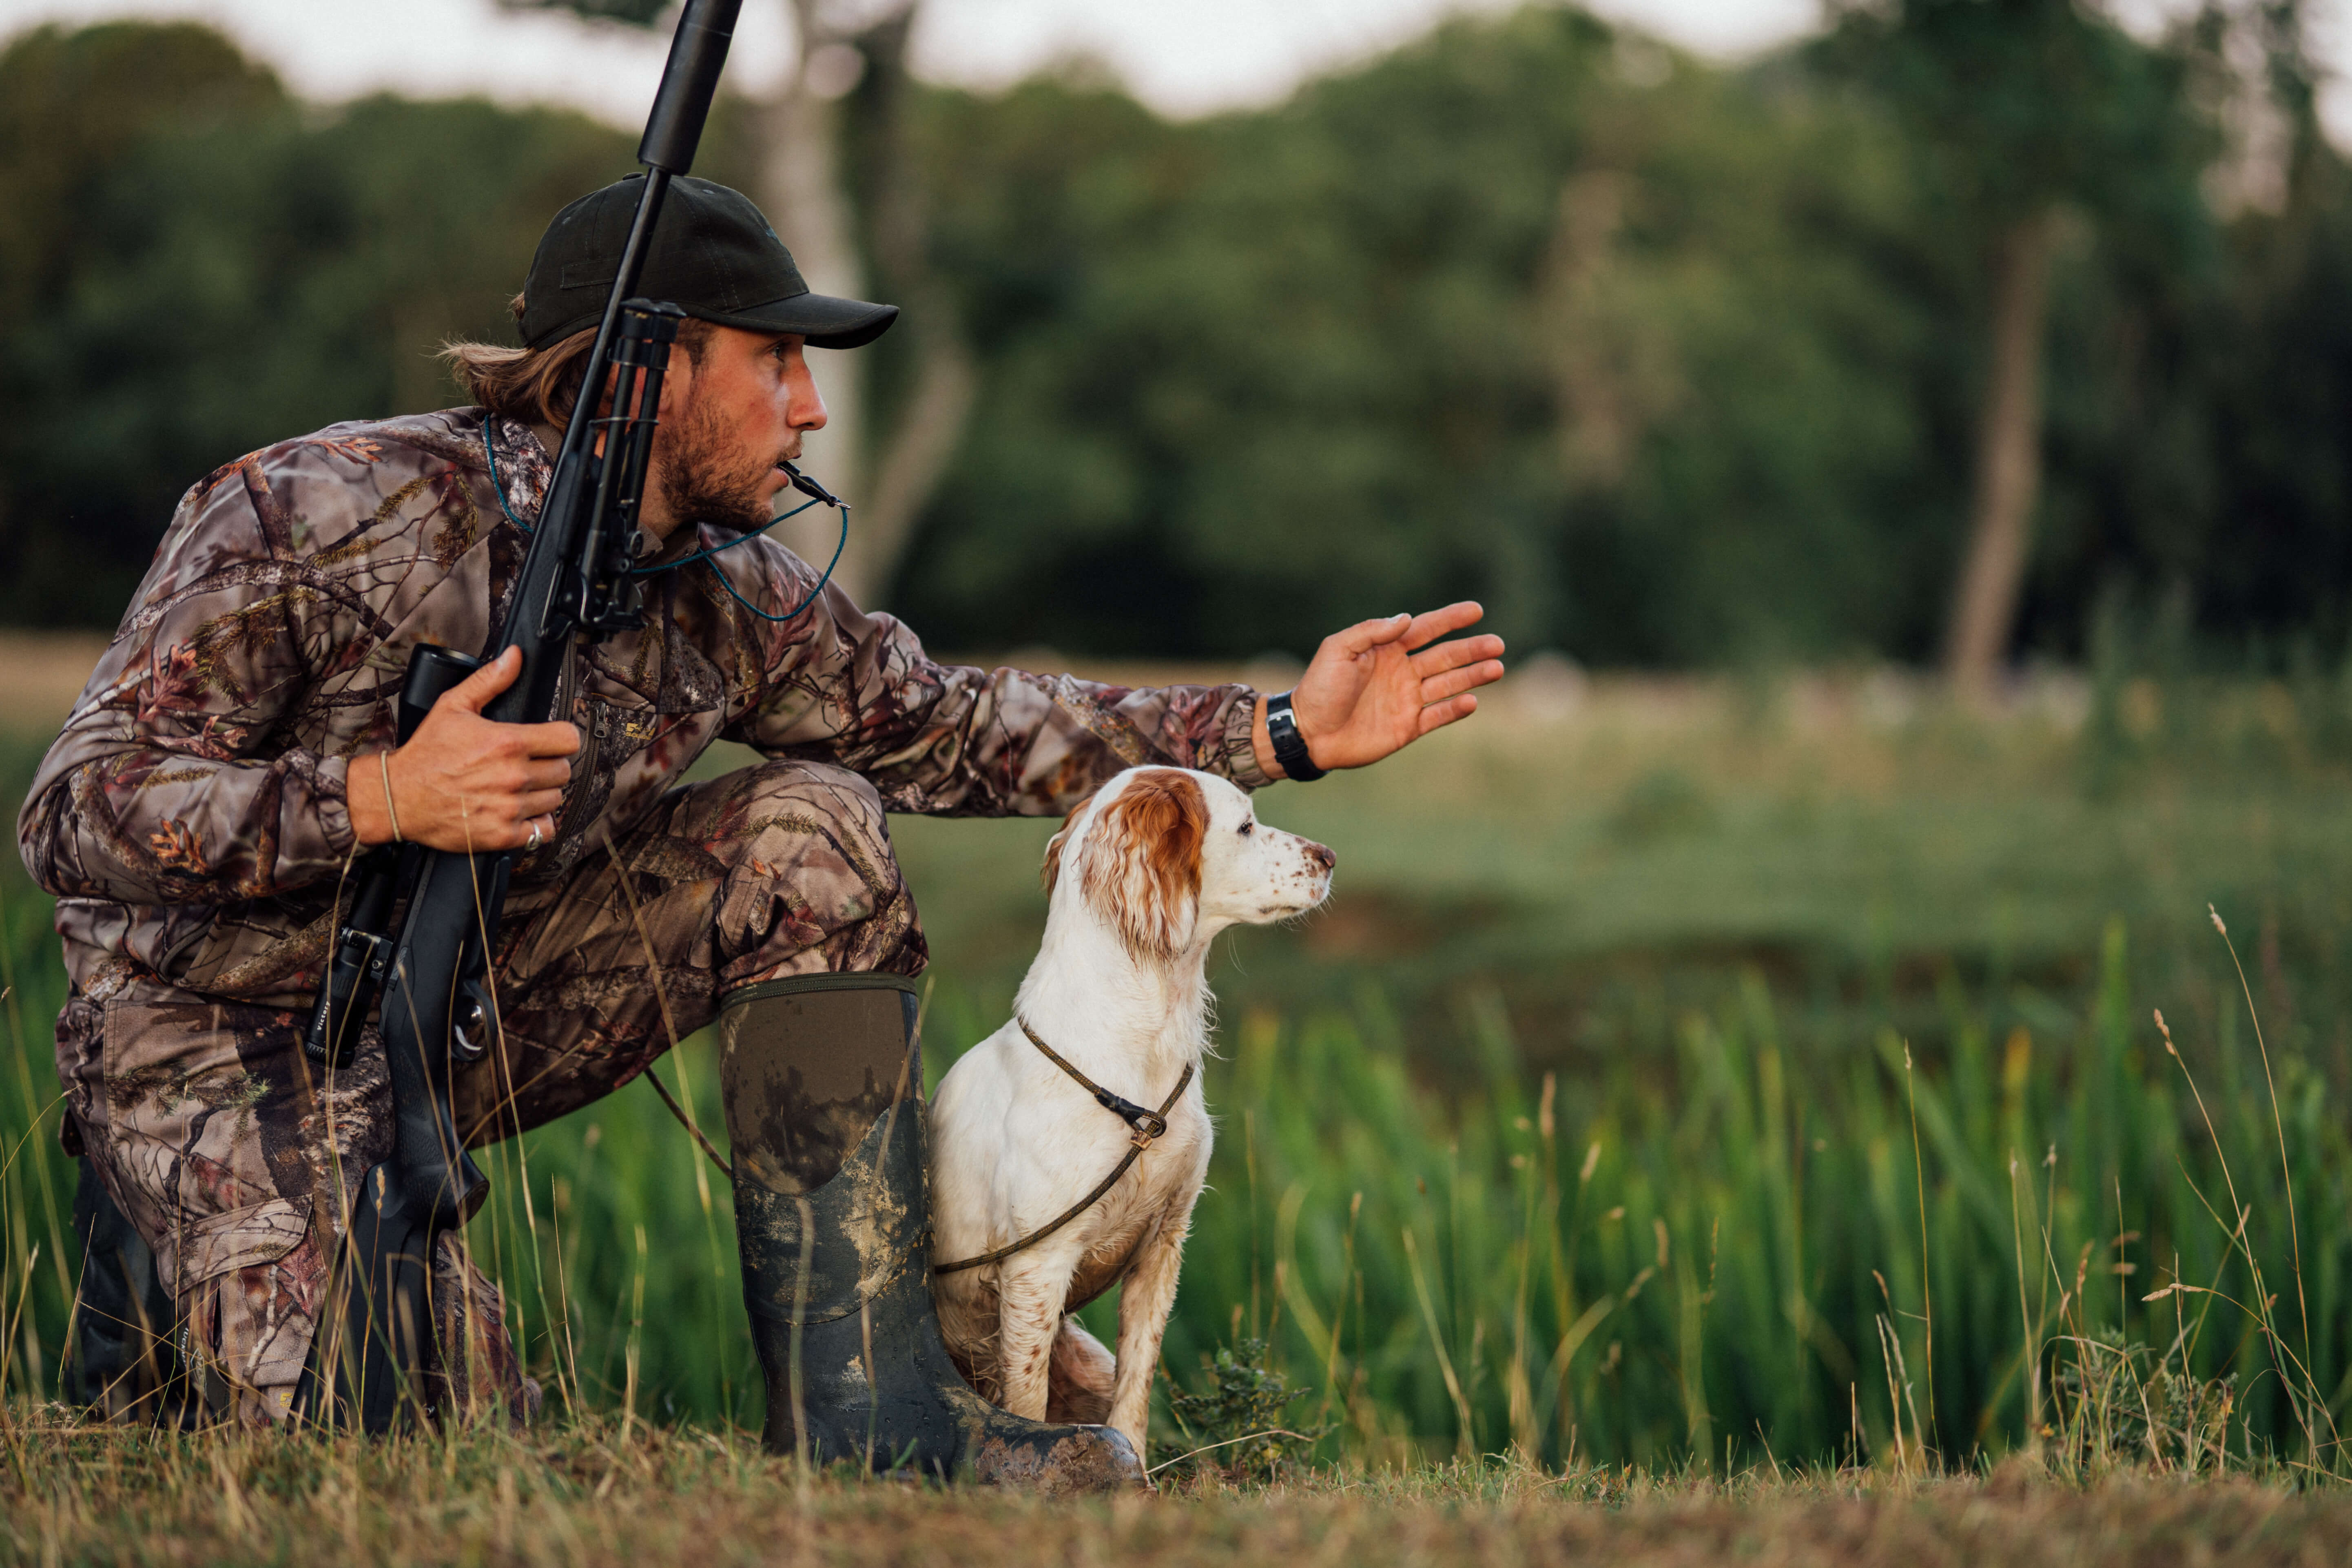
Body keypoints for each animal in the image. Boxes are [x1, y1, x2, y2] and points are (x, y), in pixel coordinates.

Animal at [936, 762, 1345, 1457]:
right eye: (1245, 825)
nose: (1329, 856)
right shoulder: (1036, 1267)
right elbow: (1027, 1401)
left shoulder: (1163, 1243)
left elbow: (1135, 1389)